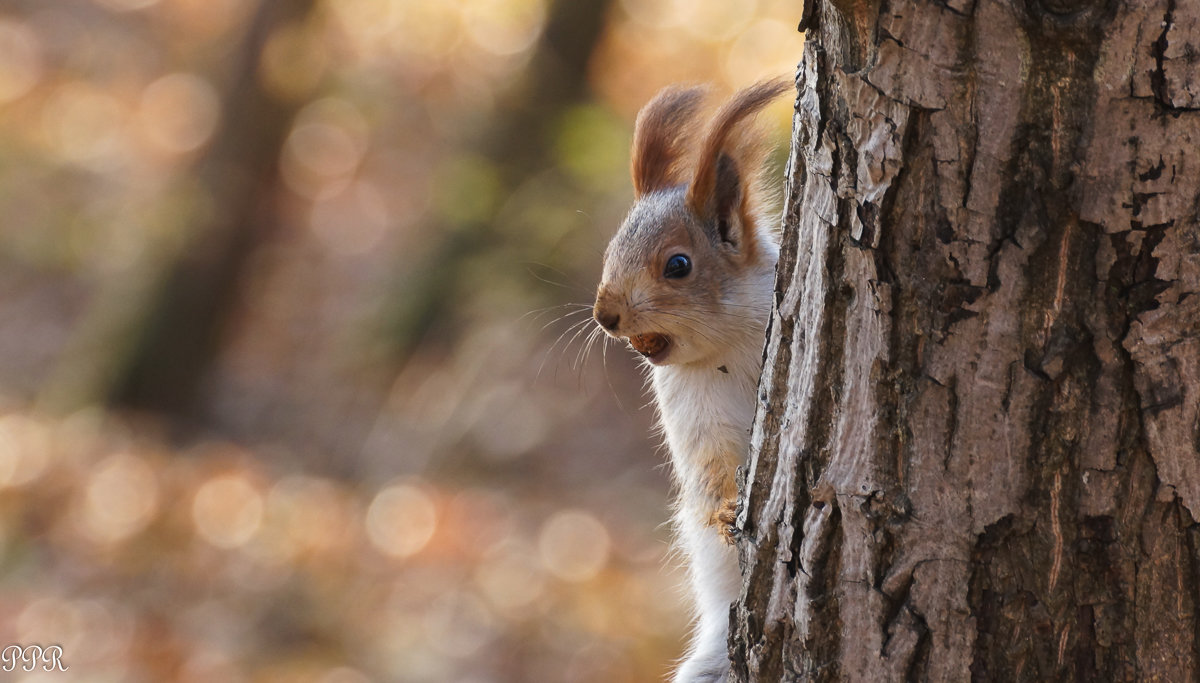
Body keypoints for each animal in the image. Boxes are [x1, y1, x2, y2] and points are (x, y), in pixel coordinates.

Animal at [592, 77, 796, 676]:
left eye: (677, 265)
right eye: (611, 251)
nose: (605, 315)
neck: (729, 345)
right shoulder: (692, 408)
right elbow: (711, 466)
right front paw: (729, 506)